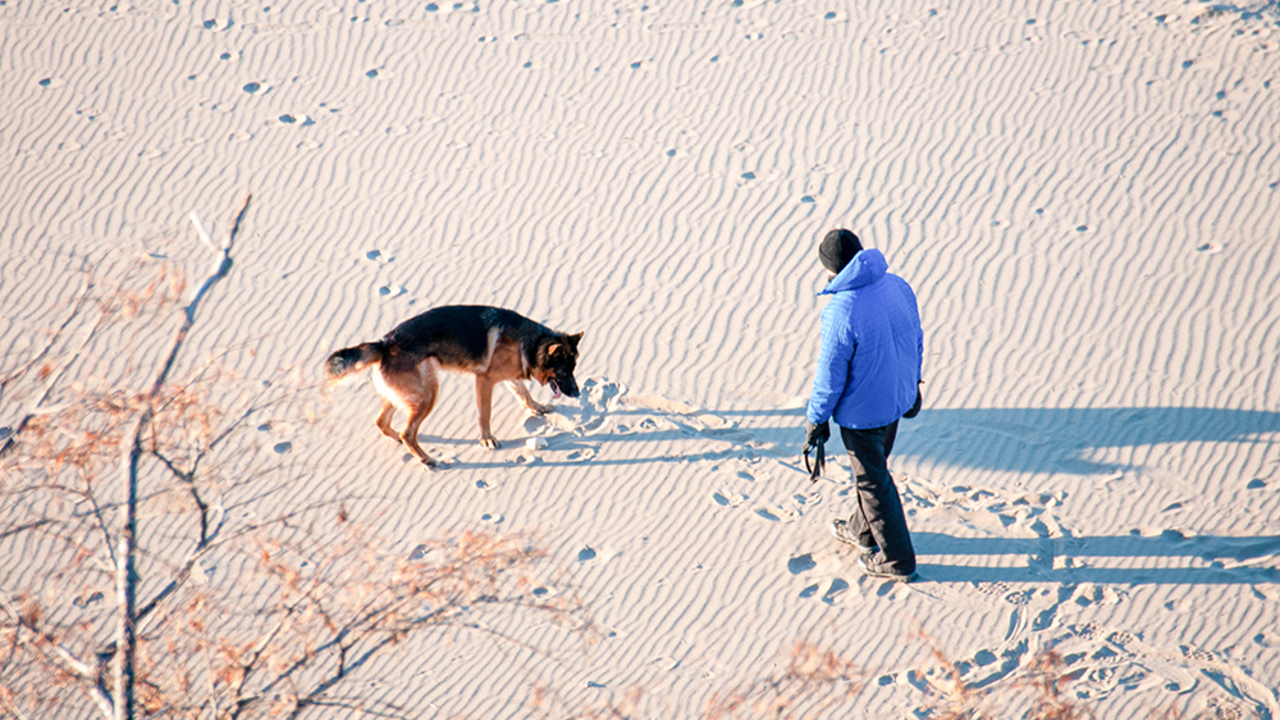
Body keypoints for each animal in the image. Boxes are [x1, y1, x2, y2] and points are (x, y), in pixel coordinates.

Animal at [325, 302, 586, 466]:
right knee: (407, 432)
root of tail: (385, 344)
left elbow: (524, 394)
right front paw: (486, 439)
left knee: (382, 422)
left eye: (574, 369)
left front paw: (537, 408)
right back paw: (426, 459)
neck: (532, 343)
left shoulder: (510, 376)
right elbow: (485, 414)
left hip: (406, 395)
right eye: (564, 372)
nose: (577, 393)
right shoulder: (485, 380)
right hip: (428, 394)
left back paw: (400, 441)